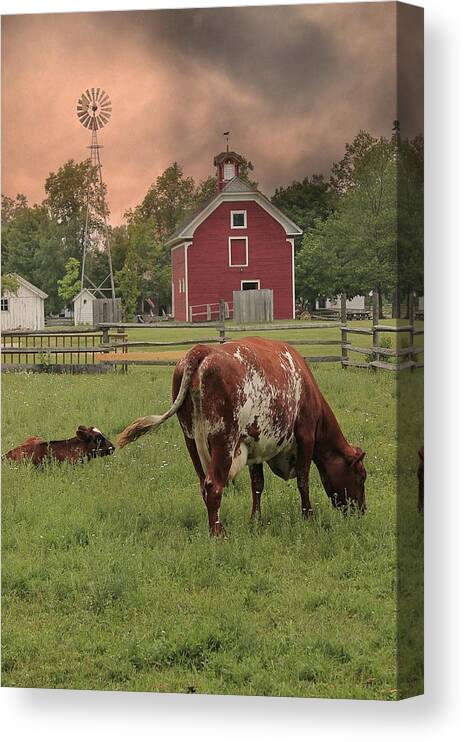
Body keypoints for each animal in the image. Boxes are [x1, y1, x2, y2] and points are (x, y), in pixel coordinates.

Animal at [118, 340, 364, 536]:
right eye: (362, 476)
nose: (362, 511)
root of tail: (201, 350)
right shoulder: (306, 435)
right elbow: (303, 481)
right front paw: (308, 518)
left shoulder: (254, 445)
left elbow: (257, 485)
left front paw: (255, 520)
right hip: (223, 439)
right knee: (214, 486)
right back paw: (218, 534)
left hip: (191, 440)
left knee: (203, 484)